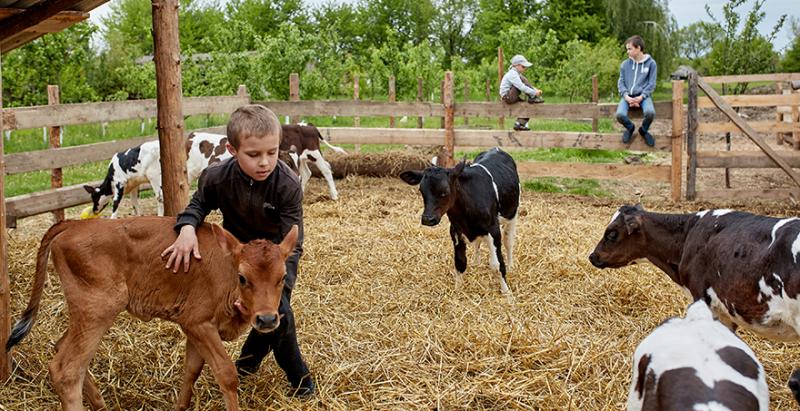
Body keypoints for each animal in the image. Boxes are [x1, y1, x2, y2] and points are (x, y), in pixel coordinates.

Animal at [4, 217, 298, 410]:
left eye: (282, 277)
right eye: (243, 278)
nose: (267, 319)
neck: (224, 273)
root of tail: (73, 223)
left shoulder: (193, 326)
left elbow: (191, 370)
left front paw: (180, 407)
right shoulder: (199, 323)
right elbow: (226, 373)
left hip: (84, 314)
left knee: (61, 347)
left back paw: (100, 404)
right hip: (97, 310)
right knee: (66, 369)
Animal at [398, 146, 520, 300]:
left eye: (445, 191)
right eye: (421, 190)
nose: (428, 219)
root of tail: (496, 148)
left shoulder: (493, 229)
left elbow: (496, 264)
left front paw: (506, 293)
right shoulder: (455, 230)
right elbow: (460, 262)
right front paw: (458, 289)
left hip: (512, 216)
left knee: (508, 242)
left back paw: (511, 266)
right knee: (478, 244)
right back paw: (476, 262)